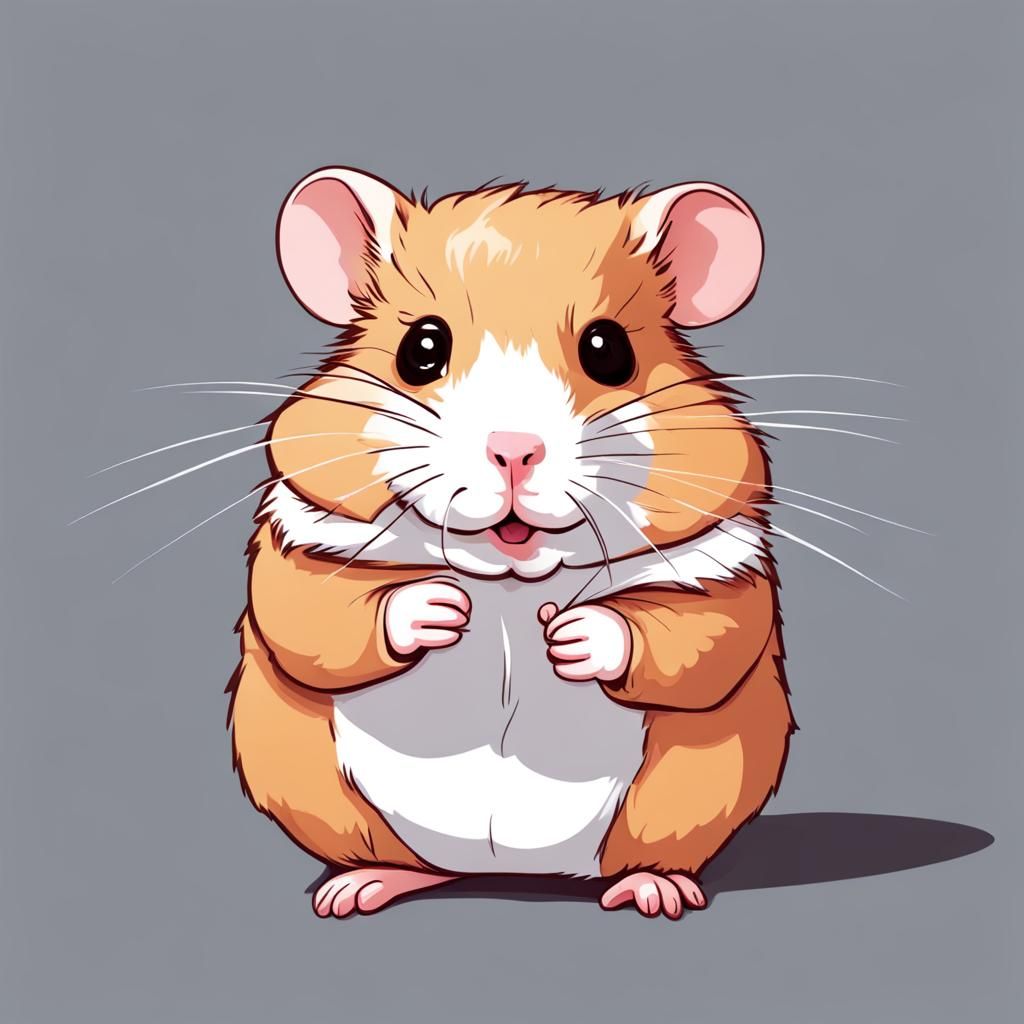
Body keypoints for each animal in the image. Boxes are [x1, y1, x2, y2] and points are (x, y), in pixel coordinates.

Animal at [227, 167, 794, 919]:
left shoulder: (722, 562)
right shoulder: (299, 539)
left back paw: (655, 892)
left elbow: (705, 637)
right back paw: (357, 888)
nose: (514, 451)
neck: (508, 582)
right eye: (422, 350)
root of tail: (523, 872)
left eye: (609, 350)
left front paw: (573, 637)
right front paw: (439, 609)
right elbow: (312, 617)